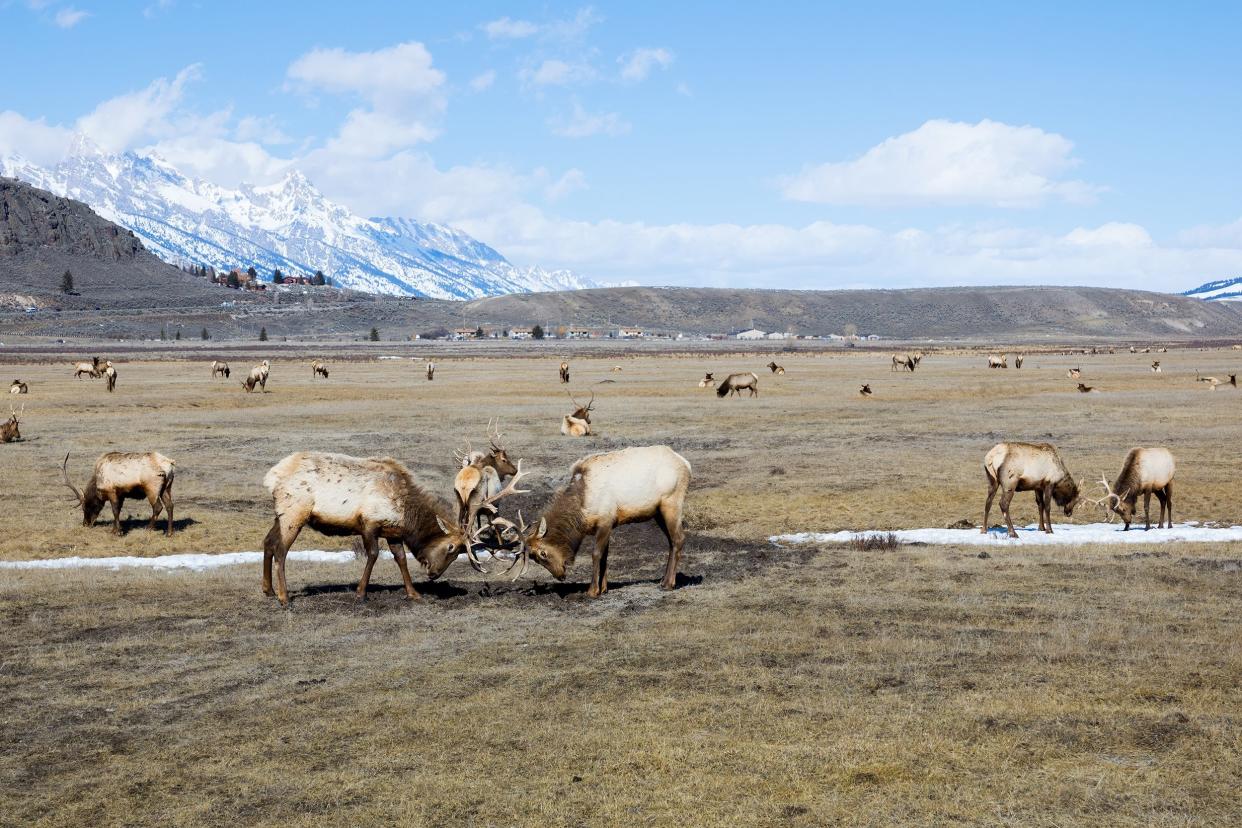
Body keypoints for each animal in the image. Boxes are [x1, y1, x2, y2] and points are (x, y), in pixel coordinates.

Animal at [259, 449, 476, 605]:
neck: (406, 514)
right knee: (281, 550)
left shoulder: (393, 532)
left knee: (268, 542)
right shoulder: (369, 524)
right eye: (451, 547)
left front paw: (414, 593)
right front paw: (360, 593)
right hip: (293, 514)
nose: (434, 574)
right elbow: (373, 554)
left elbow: (401, 559)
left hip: (280, 516)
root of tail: (270, 478)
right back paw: (284, 597)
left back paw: (268, 590)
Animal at [509, 444, 695, 598]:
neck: (582, 508)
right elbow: (605, 555)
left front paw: (592, 590)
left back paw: (668, 584)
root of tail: (686, 464)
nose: (560, 576)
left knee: (679, 539)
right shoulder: (607, 525)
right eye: (534, 558)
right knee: (671, 541)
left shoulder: (606, 520)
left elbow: (596, 554)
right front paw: (603, 588)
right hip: (658, 512)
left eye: (543, 553)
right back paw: (663, 580)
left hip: (671, 502)